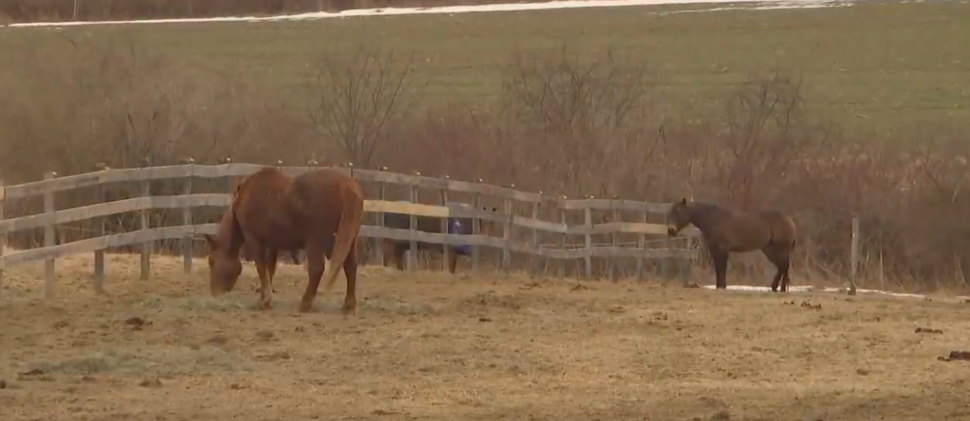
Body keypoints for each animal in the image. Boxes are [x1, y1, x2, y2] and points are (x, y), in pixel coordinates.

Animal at [203, 167, 364, 313]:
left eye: (211, 261)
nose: (215, 292)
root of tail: (347, 185)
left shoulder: (254, 240)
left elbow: (262, 269)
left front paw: (264, 302)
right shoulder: (273, 245)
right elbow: (270, 269)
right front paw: (267, 299)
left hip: (315, 242)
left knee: (317, 269)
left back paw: (305, 304)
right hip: (349, 240)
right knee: (350, 266)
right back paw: (348, 305)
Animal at [665, 198, 797, 292]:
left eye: (678, 213)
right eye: (670, 213)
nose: (671, 230)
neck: (713, 220)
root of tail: (788, 218)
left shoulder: (722, 249)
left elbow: (722, 268)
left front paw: (722, 286)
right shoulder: (714, 249)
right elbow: (718, 268)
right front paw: (719, 286)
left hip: (780, 249)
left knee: (784, 265)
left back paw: (781, 288)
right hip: (769, 250)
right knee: (782, 266)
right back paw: (776, 287)